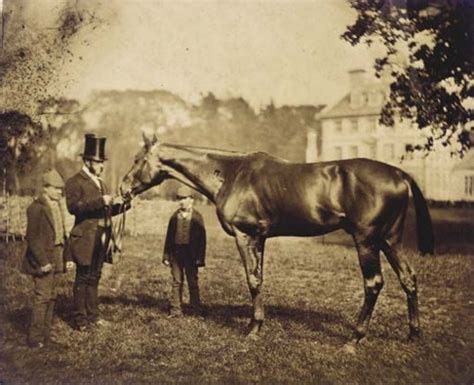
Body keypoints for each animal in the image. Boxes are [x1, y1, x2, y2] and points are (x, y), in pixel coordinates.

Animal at [121, 134, 434, 350]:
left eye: (138, 159)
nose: (123, 189)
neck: (231, 174)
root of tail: (400, 174)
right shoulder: (260, 238)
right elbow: (260, 277)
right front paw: (258, 324)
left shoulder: (245, 235)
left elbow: (252, 280)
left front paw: (253, 329)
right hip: (389, 240)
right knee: (408, 278)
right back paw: (413, 334)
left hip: (367, 240)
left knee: (374, 283)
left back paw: (353, 339)